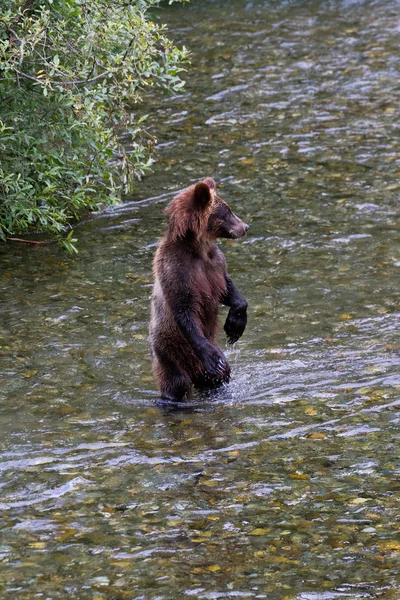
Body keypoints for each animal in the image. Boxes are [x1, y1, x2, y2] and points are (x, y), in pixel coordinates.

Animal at [150, 178, 248, 404]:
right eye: (227, 211)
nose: (245, 227)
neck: (198, 249)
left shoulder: (215, 264)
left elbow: (227, 289)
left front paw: (235, 325)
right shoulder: (177, 270)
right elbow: (184, 308)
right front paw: (214, 360)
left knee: (214, 379)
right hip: (168, 350)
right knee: (176, 382)